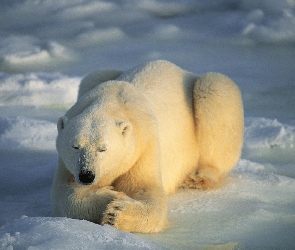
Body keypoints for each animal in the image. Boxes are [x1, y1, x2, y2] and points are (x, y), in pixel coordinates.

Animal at [51, 59, 245, 233]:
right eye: (75, 146)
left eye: (103, 148)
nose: (86, 176)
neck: (112, 102)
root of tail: (182, 70)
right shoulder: (68, 164)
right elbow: (64, 195)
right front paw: (109, 196)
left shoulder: (144, 145)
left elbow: (147, 191)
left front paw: (117, 212)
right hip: (95, 77)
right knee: (93, 75)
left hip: (207, 95)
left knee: (214, 90)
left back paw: (199, 178)